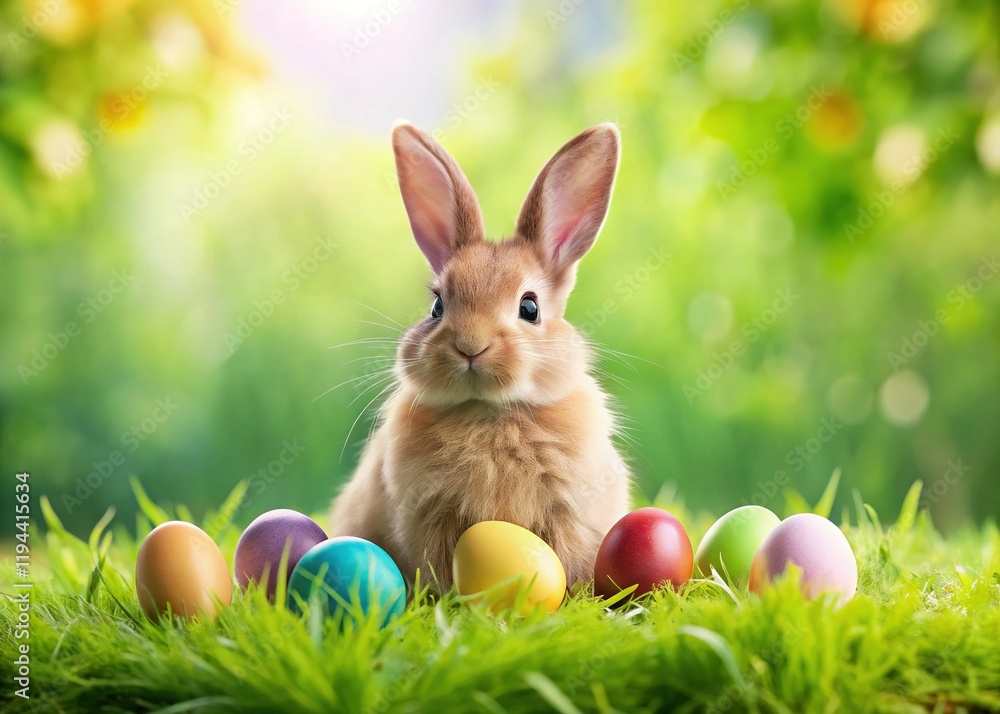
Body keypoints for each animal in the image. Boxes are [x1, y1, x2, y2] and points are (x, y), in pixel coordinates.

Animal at [329, 121, 632, 592]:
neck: (490, 411)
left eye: (530, 307)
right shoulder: (431, 515)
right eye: (437, 306)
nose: (470, 346)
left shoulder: (569, 516)